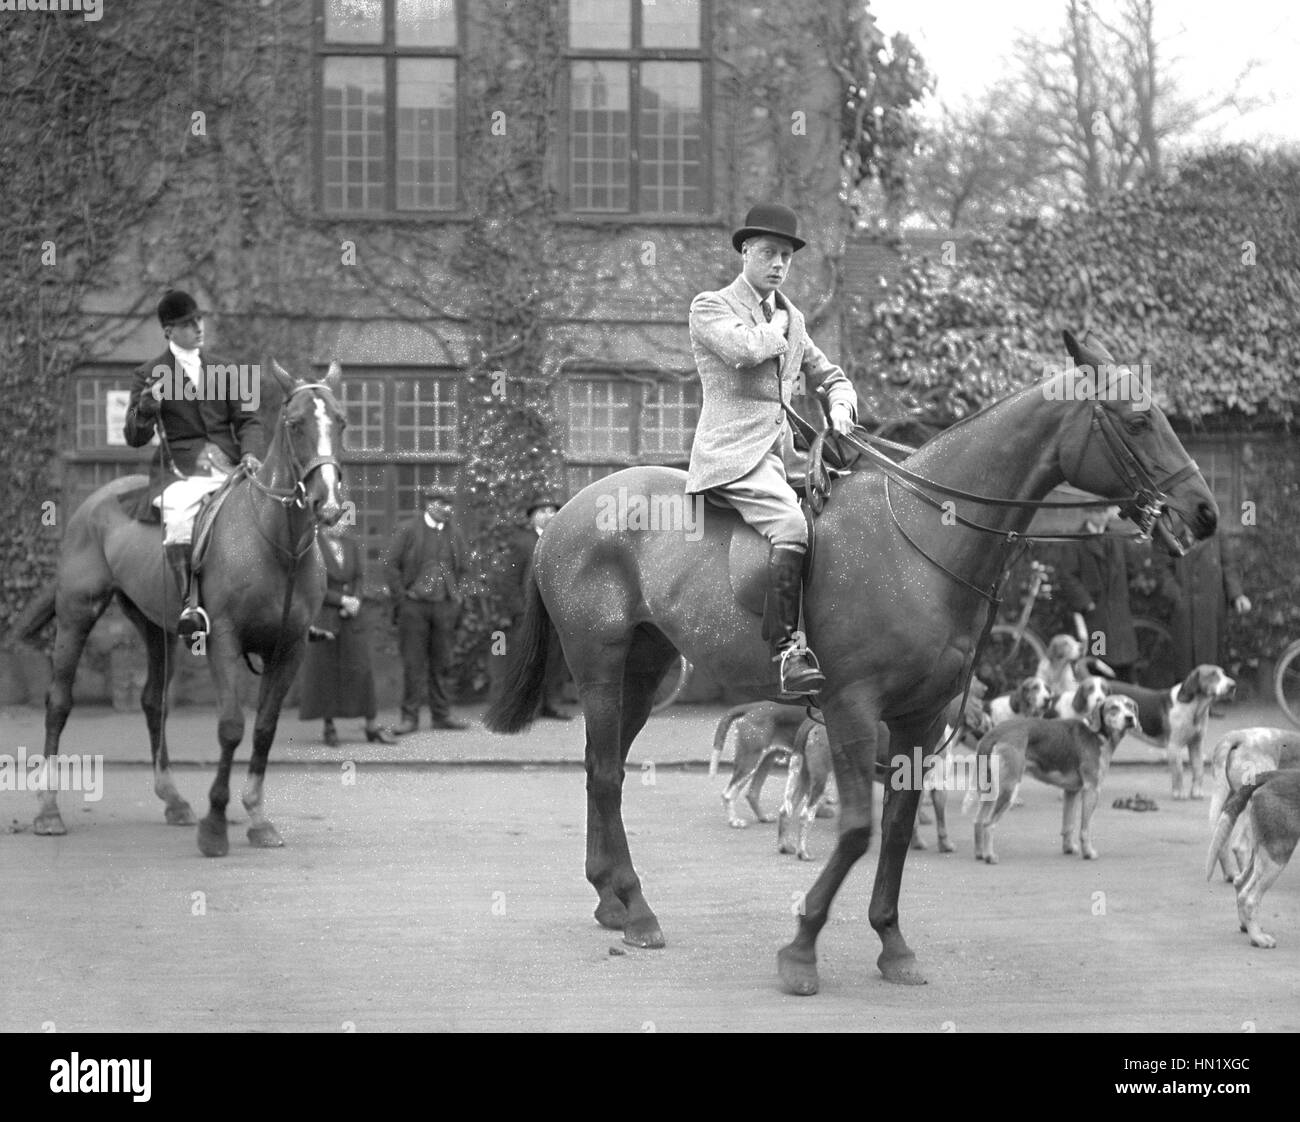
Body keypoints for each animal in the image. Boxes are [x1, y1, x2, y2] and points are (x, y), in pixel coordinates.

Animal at [22, 364, 345, 858]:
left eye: (341, 422)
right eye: (295, 424)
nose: (327, 504)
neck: (277, 544)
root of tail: (98, 499)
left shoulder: (289, 649)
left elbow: (265, 728)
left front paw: (257, 816)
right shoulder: (224, 640)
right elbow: (231, 726)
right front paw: (215, 825)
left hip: (155, 626)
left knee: (153, 700)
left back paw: (172, 798)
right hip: (77, 613)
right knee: (58, 701)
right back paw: (48, 809)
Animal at [486, 331, 1216, 993]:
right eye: (1138, 419)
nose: (1203, 513)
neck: (923, 536)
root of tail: (567, 513)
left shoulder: (920, 719)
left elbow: (896, 829)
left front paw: (891, 942)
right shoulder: (851, 709)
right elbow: (859, 829)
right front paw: (802, 947)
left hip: (644, 672)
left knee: (598, 770)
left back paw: (612, 899)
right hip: (601, 669)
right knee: (608, 773)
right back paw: (636, 909)